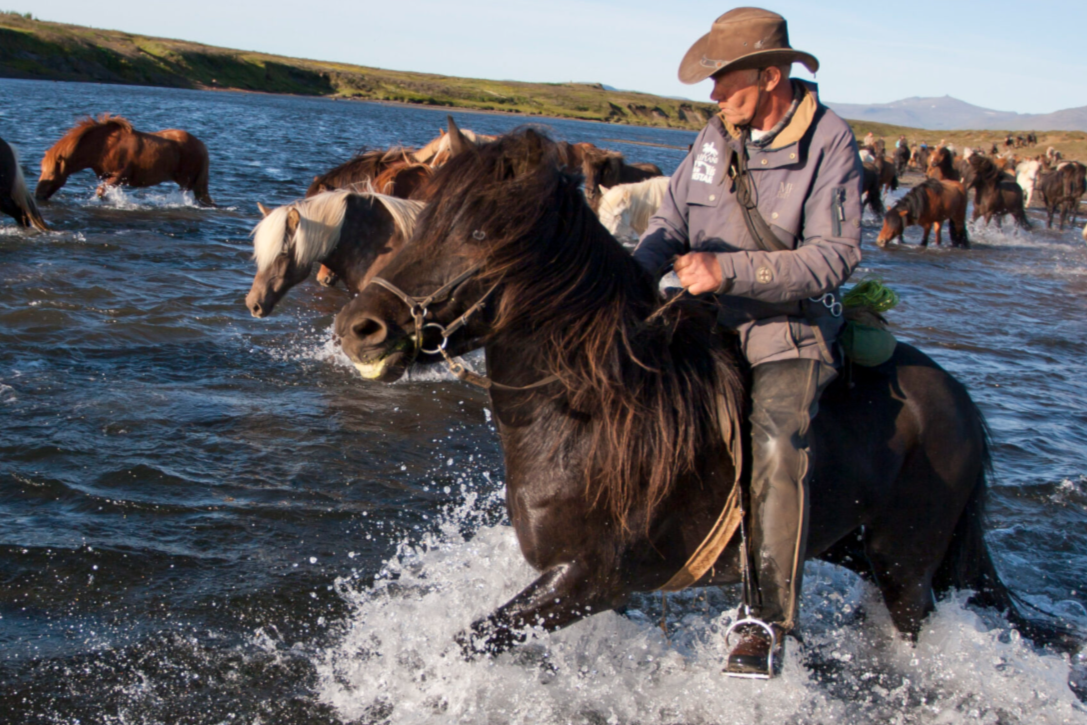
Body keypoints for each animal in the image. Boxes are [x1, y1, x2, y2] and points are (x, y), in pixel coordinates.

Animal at [35, 114, 213, 205]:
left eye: (51, 175)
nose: (38, 196)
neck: (103, 146)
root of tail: (201, 145)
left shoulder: (120, 175)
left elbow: (100, 191)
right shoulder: (110, 177)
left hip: (188, 181)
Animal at [333, 129, 1075, 659]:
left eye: (480, 233)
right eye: (425, 219)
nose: (359, 328)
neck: (598, 411)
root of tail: (958, 401)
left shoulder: (586, 579)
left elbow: (468, 642)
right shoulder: (600, 592)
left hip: (905, 566)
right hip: (852, 545)